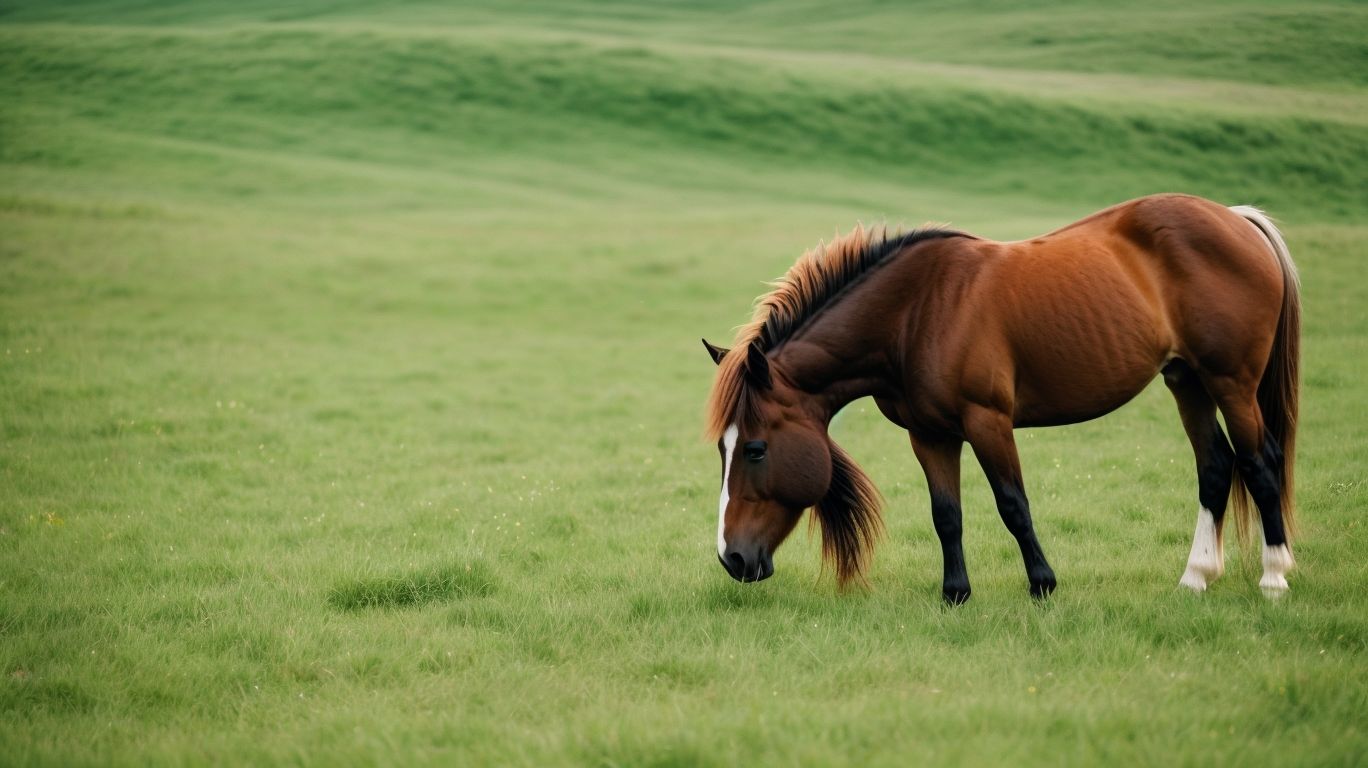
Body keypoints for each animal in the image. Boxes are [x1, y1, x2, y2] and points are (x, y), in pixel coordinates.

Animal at [702, 193, 1299, 603]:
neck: (916, 312)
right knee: (1216, 466)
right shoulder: (930, 435)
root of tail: (1234, 218)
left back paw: (1274, 575)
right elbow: (946, 513)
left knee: (1260, 463)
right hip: (1186, 381)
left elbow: (1013, 504)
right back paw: (1196, 577)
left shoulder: (988, 422)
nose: (732, 558)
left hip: (1231, 383)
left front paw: (1042, 584)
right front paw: (955, 593)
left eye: (754, 449)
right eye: (722, 451)